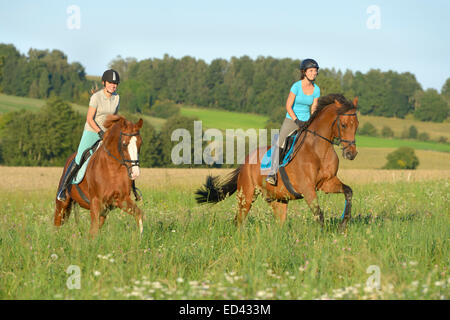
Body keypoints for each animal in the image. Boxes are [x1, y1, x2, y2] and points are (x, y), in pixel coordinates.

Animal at [195, 94, 360, 229]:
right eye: (344, 124)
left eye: (357, 124)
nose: (351, 154)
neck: (319, 150)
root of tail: (246, 161)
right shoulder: (307, 188)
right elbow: (318, 213)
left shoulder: (327, 183)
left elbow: (348, 191)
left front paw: (343, 224)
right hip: (246, 195)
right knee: (239, 219)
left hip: (278, 199)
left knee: (279, 223)